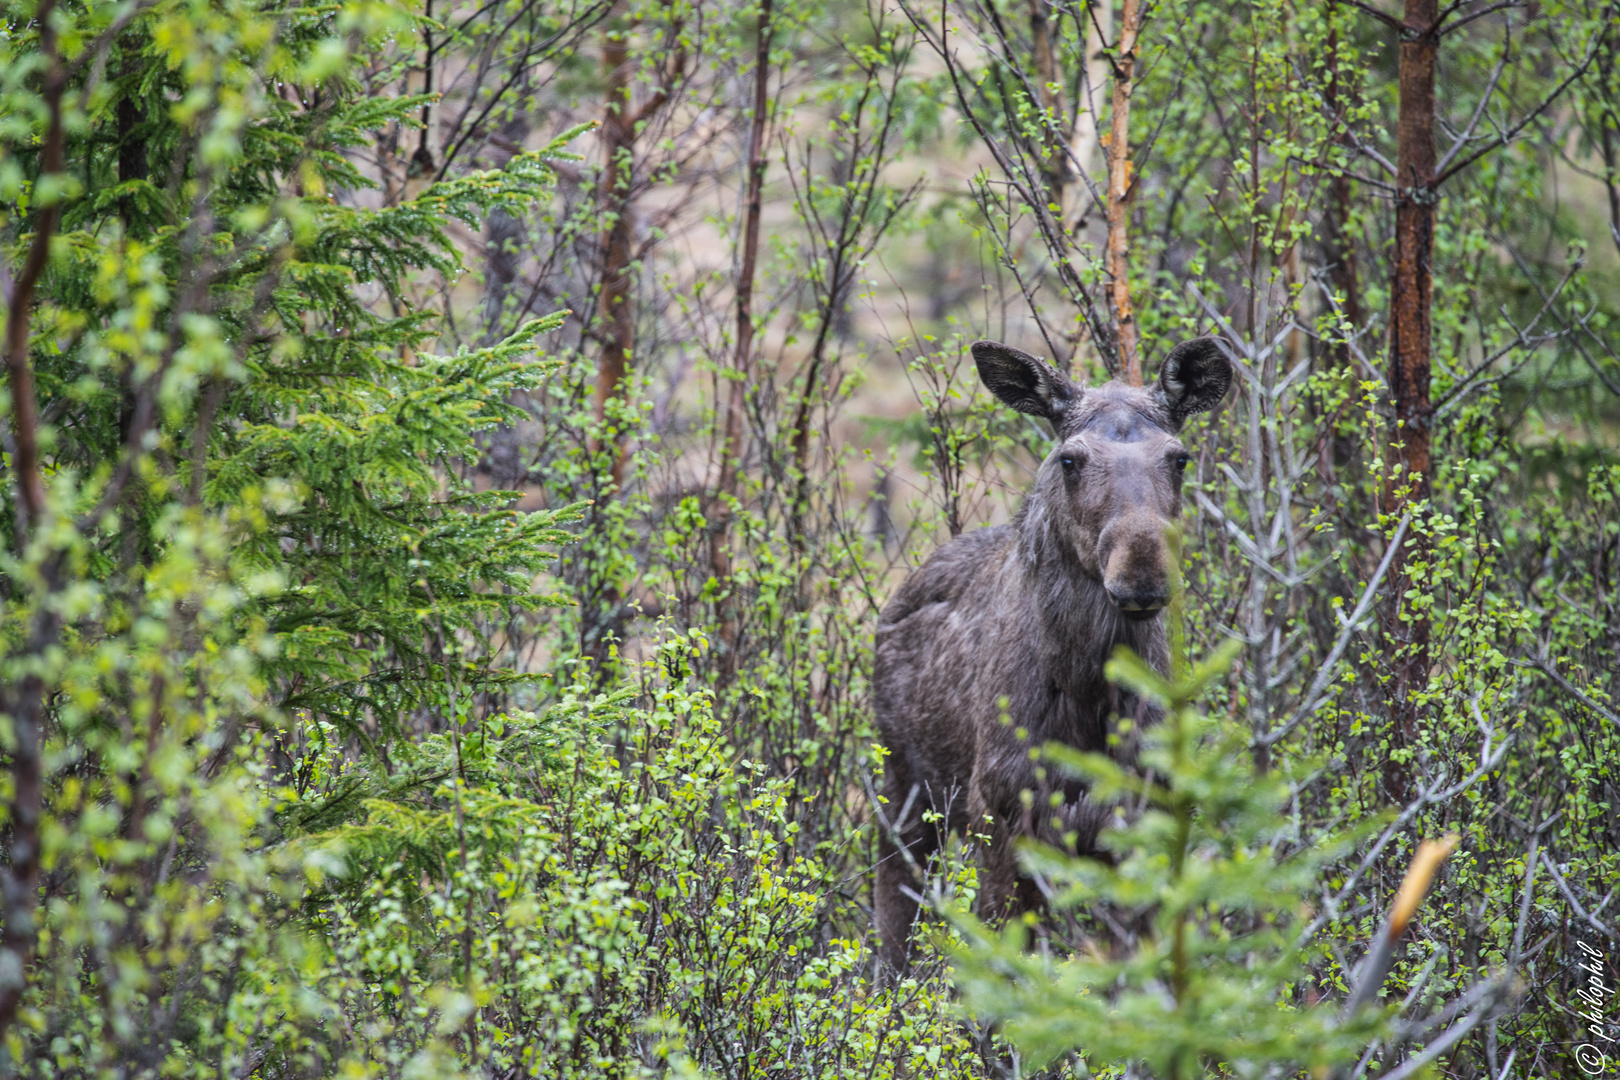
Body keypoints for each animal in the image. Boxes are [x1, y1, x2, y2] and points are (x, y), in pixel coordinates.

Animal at [874, 335, 1224, 971]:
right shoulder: (1000, 815)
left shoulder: (1145, 821)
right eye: (1070, 460)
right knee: (893, 896)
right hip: (906, 787)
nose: (1141, 573)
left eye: (1179, 457)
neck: (1086, 693)